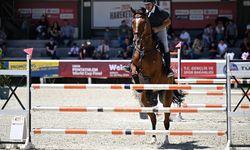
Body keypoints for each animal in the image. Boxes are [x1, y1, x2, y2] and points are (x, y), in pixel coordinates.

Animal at [130, 7, 183, 145]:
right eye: (133, 22)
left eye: (144, 23)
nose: (136, 41)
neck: (145, 49)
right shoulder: (134, 65)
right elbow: (134, 72)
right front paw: (137, 84)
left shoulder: (156, 75)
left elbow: (152, 79)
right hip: (145, 102)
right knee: (153, 117)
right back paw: (153, 137)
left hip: (166, 97)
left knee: (166, 120)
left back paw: (166, 140)